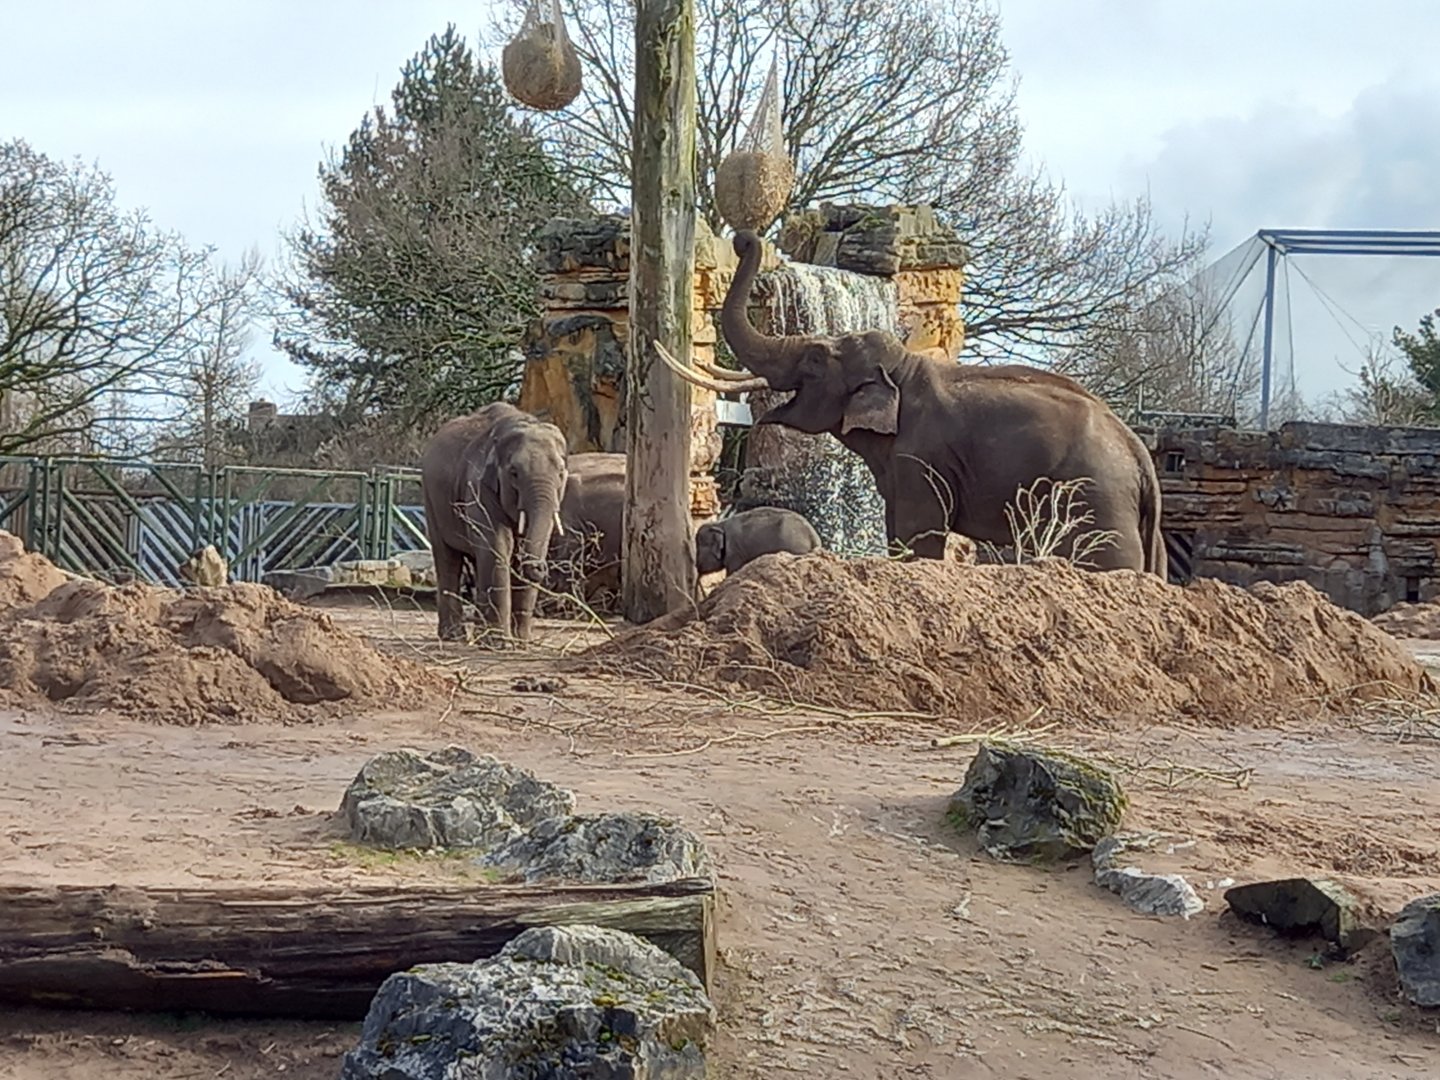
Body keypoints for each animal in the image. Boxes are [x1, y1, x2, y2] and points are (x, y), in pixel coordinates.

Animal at [420, 402, 569, 644]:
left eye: (561, 473)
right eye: (514, 473)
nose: (540, 568)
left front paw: (521, 644)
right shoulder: (478, 486)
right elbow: (498, 545)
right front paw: (501, 645)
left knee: (477, 561)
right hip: (431, 499)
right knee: (448, 558)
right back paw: (455, 637)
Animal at [655, 230, 1166, 576]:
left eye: (816, 359)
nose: (743, 240)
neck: (905, 368)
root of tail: (1142, 456)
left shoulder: (925, 457)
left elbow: (919, 530)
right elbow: (894, 524)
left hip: (1096, 501)